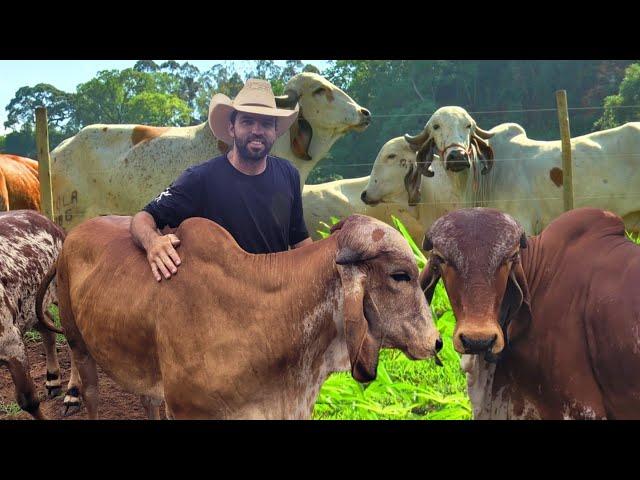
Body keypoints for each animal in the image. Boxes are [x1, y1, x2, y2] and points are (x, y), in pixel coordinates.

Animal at [38, 215, 440, 420]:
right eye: (399, 275)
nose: (436, 342)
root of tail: (71, 234)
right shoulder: (189, 411)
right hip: (78, 343)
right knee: (90, 394)